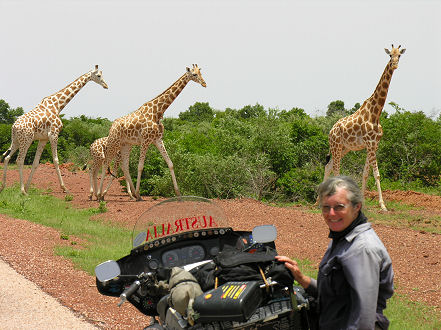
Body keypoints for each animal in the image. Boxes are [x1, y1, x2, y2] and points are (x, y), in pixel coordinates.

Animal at [0, 65, 108, 195]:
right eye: (98, 75)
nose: (106, 85)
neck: (57, 106)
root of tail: (13, 127)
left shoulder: (43, 139)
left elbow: (36, 163)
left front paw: (27, 187)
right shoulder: (54, 134)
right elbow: (56, 160)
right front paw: (64, 188)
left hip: (16, 141)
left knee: (7, 158)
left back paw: (3, 186)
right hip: (26, 140)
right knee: (19, 160)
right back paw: (22, 191)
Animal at [95, 63, 205, 200]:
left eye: (201, 73)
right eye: (194, 74)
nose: (204, 83)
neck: (157, 112)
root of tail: (112, 125)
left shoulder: (158, 139)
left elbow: (170, 163)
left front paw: (178, 193)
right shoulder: (145, 140)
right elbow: (140, 166)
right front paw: (138, 192)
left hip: (126, 144)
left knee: (125, 166)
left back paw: (132, 195)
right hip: (114, 142)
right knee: (106, 163)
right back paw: (100, 195)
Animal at [320, 44, 406, 211]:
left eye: (399, 55)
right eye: (389, 55)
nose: (394, 65)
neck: (375, 113)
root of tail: (331, 130)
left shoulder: (373, 145)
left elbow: (366, 173)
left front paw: (364, 203)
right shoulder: (370, 144)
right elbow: (377, 173)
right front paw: (383, 206)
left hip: (344, 148)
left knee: (328, 166)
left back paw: (316, 201)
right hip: (336, 146)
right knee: (335, 169)